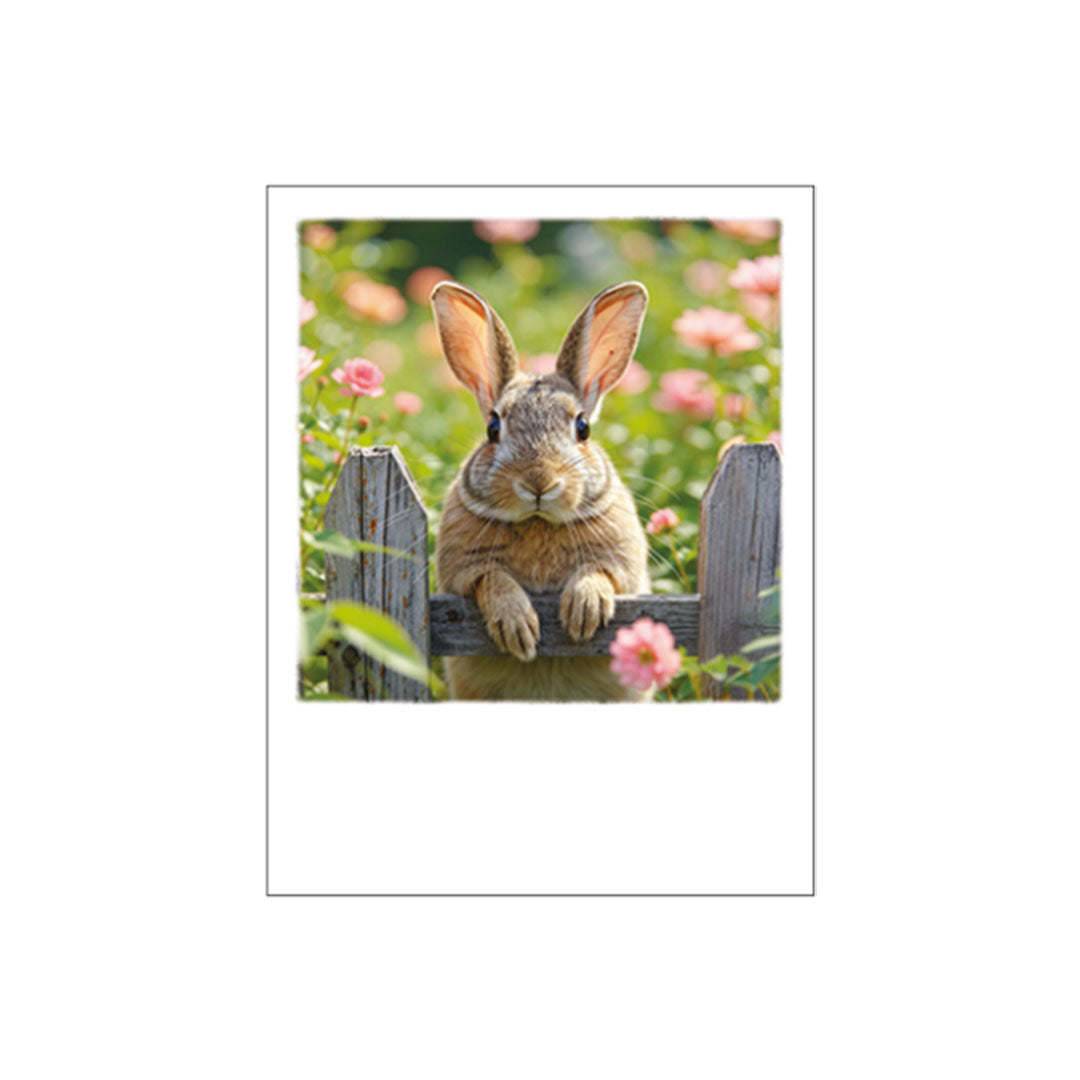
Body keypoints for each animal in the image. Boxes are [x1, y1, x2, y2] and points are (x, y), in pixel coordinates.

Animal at [431, 280, 653, 701]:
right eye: (493, 428)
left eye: (583, 428)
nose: (538, 482)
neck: (538, 520)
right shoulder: (462, 570)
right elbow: (491, 579)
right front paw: (518, 627)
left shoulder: (623, 564)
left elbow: (602, 573)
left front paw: (584, 610)